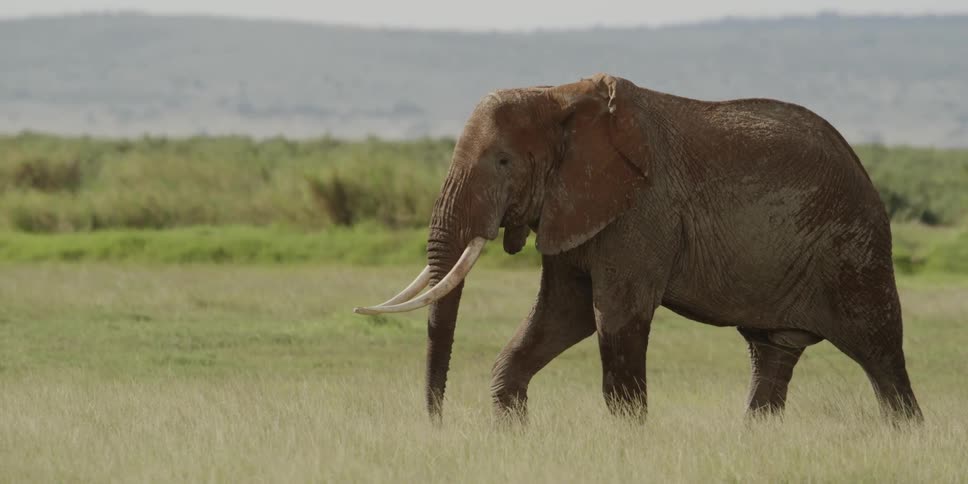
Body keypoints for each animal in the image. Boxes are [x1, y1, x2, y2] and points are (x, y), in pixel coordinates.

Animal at [354, 73, 922, 423]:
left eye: (502, 162)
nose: (438, 424)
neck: (558, 94)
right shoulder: (576, 208)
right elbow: (558, 318)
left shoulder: (642, 211)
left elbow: (614, 321)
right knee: (772, 355)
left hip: (856, 251)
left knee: (883, 360)